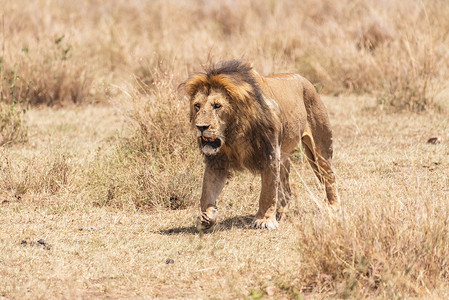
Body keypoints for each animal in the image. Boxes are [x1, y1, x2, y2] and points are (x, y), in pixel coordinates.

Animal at [184, 60, 338, 230]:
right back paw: (283, 214)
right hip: (285, 158)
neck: (233, 133)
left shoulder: (270, 154)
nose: (200, 127)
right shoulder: (217, 160)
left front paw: (264, 220)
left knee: (329, 176)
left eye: (217, 106)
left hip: (319, 147)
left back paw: (333, 207)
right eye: (197, 106)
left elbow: (267, 192)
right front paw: (206, 217)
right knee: (286, 190)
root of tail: (305, 80)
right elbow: (207, 190)